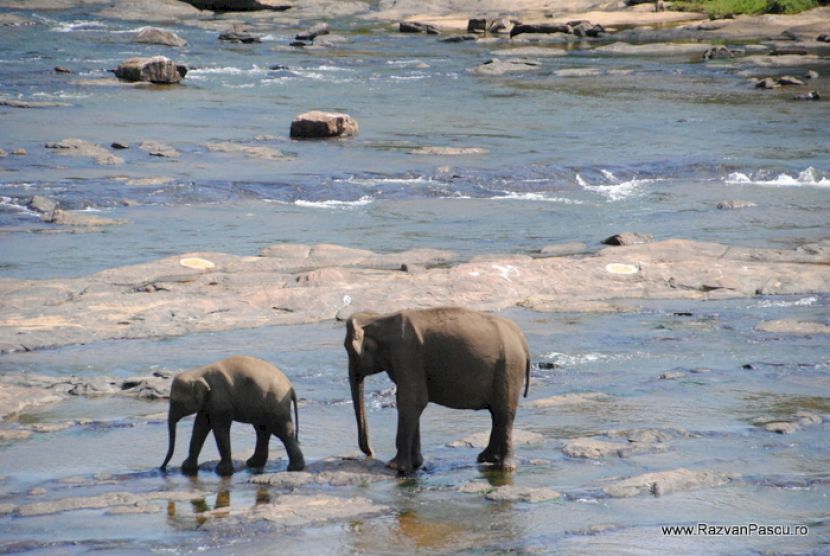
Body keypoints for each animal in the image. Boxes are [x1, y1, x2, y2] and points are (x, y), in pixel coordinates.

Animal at [160, 355, 305, 476]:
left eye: (176, 402)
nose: (162, 468)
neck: (198, 372)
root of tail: (291, 386)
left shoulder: (220, 399)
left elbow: (219, 428)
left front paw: (222, 471)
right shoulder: (208, 403)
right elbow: (200, 427)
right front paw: (187, 468)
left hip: (275, 405)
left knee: (281, 431)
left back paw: (294, 468)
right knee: (263, 430)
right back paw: (253, 463)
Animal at [345, 307, 531, 474]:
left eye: (349, 350)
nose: (370, 452)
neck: (379, 318)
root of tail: (521, 339)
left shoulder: (407, 356)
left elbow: (411, 401)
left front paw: (395, 467)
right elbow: (413, 404)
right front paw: (416, 464)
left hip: (509, 368)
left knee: (504, 413)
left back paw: (505, 467)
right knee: (496, 413)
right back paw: (486, 458)